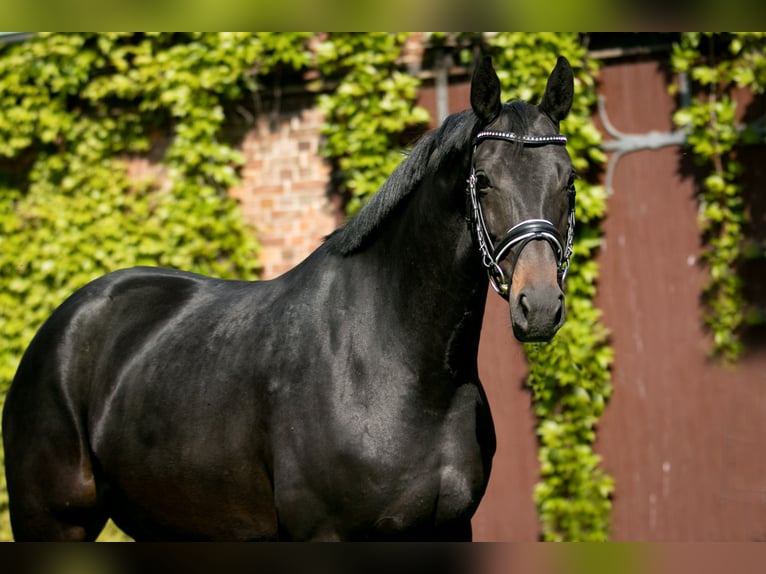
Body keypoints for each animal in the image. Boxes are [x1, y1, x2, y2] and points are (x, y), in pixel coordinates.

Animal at [1, 55, 576, 544]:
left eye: (569, 181)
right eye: (483, 180)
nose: (539, 305)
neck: (399, 368)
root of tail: (60, 326)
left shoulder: (450, 529)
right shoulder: (324, 534)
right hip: (53, 524)